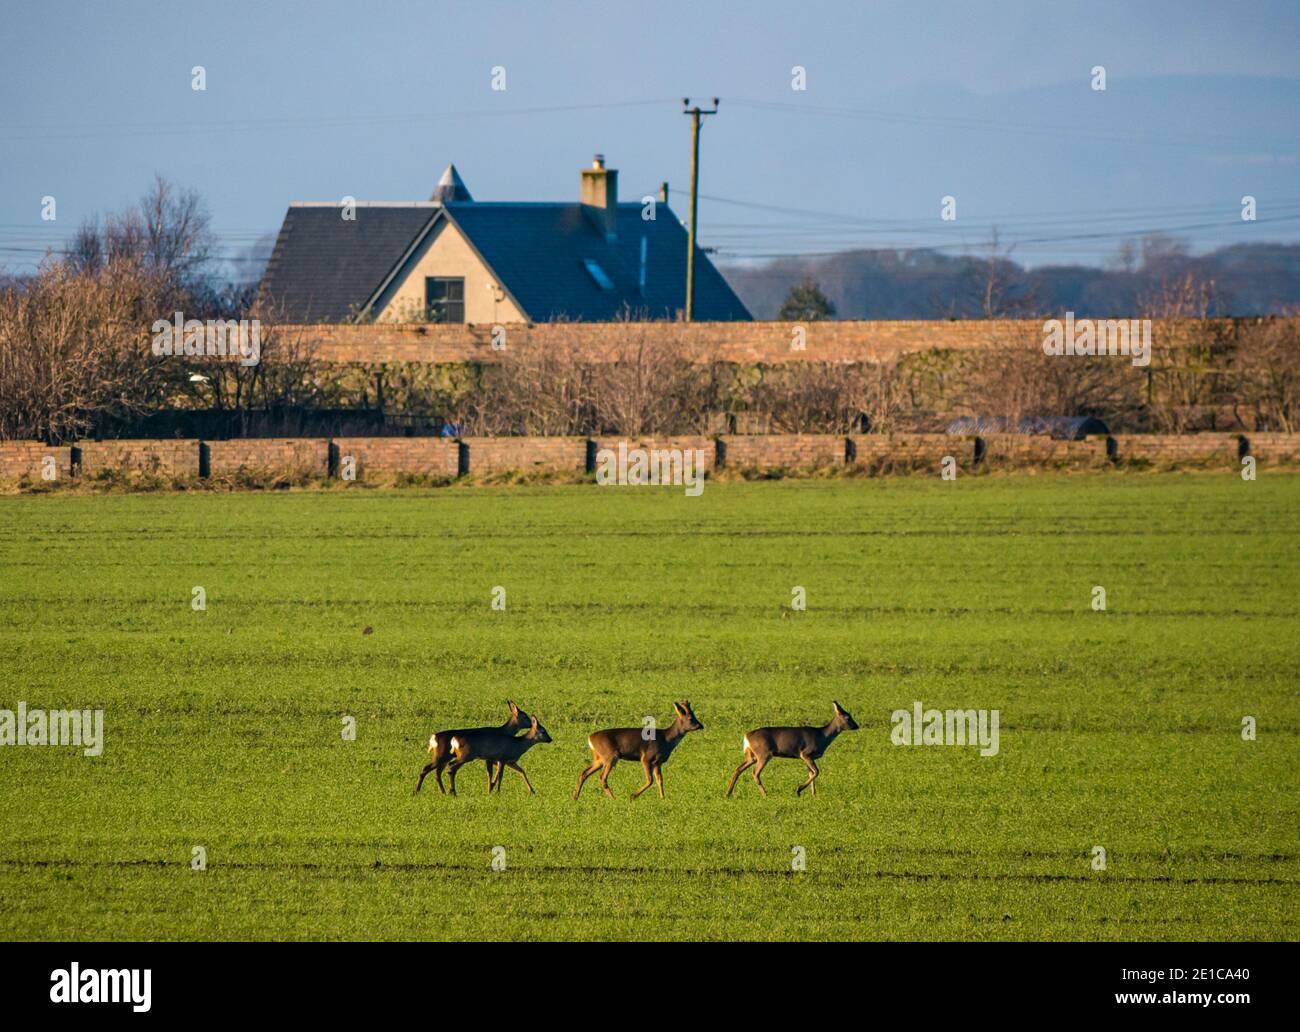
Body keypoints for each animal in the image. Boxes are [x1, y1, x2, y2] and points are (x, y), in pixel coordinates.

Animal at [574, 701, 704, 801]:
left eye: (695, 716)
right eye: (691, 718)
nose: (701, 726)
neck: (666, 739)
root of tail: (590, 738)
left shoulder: (658, 762)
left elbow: (660, 780)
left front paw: (663, 798)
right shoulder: (646, 758)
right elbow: (650, 780)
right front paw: (633, 795)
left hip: (600, 758)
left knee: (584, 773)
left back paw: (575, 798)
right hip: (610, 756)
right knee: (602, 777)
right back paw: (614, 799)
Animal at [725, 701, 859, 798]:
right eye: (847, 717)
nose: (857, 726)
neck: (823, 737)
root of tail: (746, 736)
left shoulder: (808, 757)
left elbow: (812, 773)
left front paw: (813, 795)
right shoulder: (805, 753)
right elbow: (816, 772)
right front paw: (799, 790)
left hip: (751, 756)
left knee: (738, 769)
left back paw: (728, 793)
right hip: (763, 753)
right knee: (755, 773)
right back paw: (765, 794)